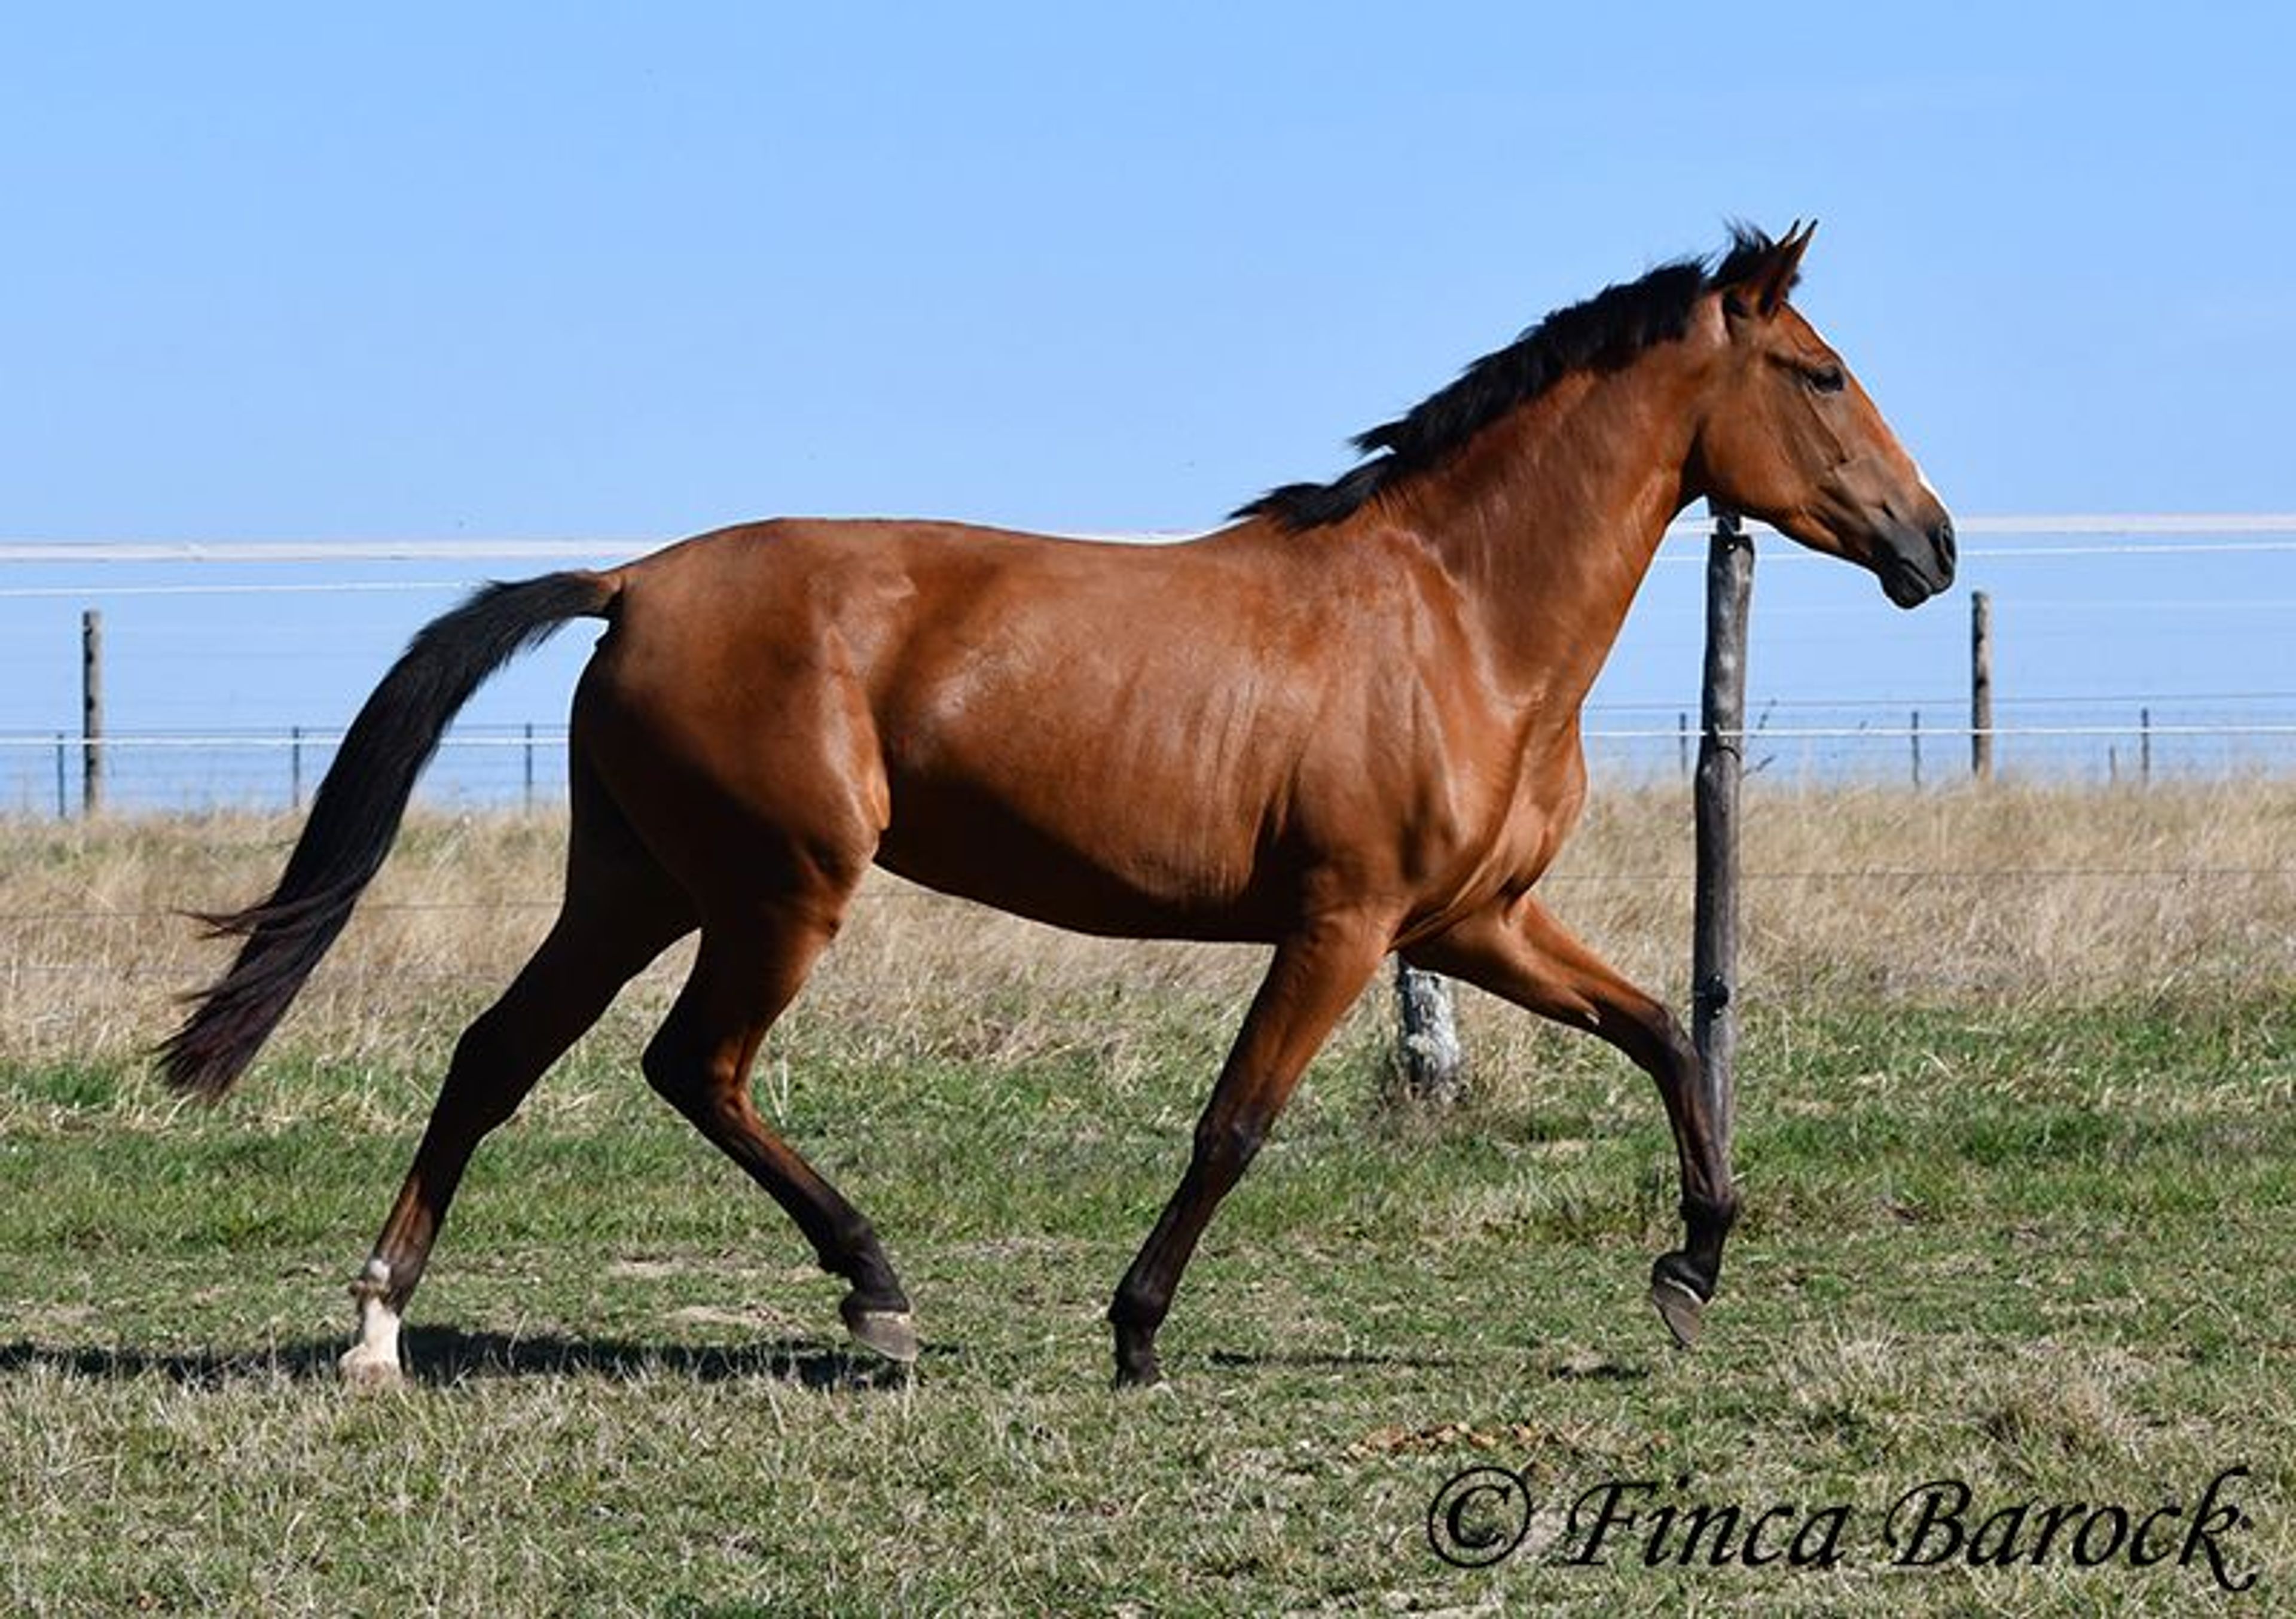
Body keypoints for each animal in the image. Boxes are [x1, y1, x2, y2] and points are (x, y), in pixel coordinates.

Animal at [162, 222, 1953, 1388]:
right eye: (1820, 372)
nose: (1931, 546)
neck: (1456, 613)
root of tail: (630, 582)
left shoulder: (1473, 921)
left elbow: (1660, 1032)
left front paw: (1689, 1275)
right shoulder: (1345, 922)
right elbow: (1235, 1120)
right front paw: (1137, 1332)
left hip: (637, 881)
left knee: (497, 1054)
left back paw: (378, 1327)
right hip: (780, 887)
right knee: (693, 1066)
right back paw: (875, 1294)